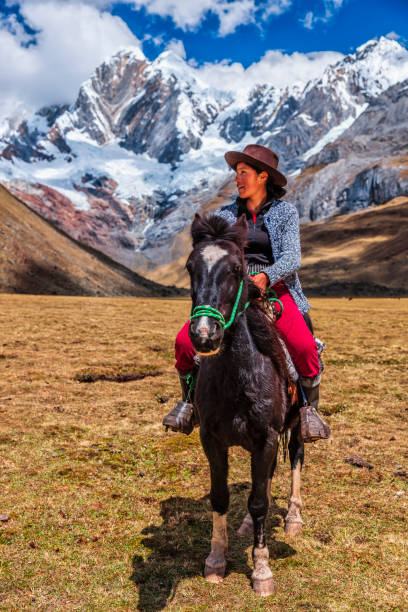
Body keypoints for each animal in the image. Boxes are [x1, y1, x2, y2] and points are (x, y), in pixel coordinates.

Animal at [186, 213, 304, 596]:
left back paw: (294, 516)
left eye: (237, 269)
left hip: (297, 423)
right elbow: (221, 496)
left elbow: (260, 500)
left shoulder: (266, 438)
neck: (237, 379)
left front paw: (262, 571)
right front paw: (215, 560)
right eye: (190, 267)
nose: (204, 335)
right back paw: (247, 526)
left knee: (296, 458)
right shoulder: (211, 438)